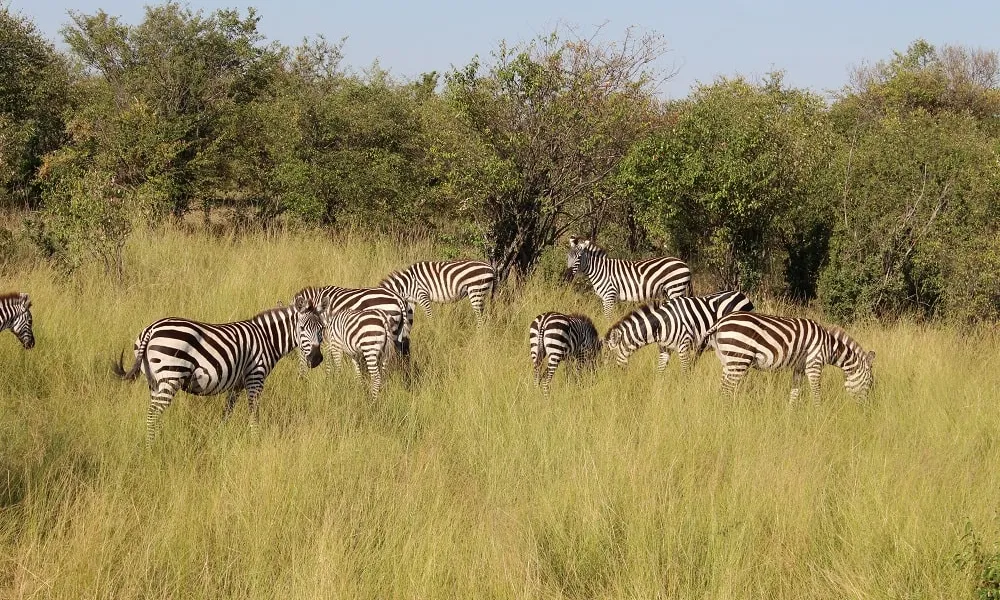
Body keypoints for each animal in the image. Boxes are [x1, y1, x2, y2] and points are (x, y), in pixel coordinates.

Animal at [112, 303, 326, 444]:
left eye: (322, 329)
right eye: (302, 328)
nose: (316, 359)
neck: (267, 339)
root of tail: (151, 328)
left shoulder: (237, 384)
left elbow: (228, 411)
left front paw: (220, 435)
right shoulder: (255, 377)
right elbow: (253, 411)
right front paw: (255, 440)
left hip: (154, 380)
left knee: (154, 412)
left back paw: (158, 439)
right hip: (171, 376)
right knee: (153, 413)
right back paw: (152, 446)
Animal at [604, 291, 754, 373]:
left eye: (609, 356)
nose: (608, 378)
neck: (662, 324)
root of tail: (744, 296)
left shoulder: (683, 346)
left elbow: (684, 371)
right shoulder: (664, 349)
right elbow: (660, 372)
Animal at [699, 312, 875, 403]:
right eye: (870, 382)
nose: (866, 409)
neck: (829, 346)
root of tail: (720, 321)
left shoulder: (799, 368)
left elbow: (794, 393)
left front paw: (790, 418)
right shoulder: (814, 364)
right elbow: (816, 393)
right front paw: (818, 416)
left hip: (727, 360)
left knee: (722, 388)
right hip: (739, 358)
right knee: (726, 390)